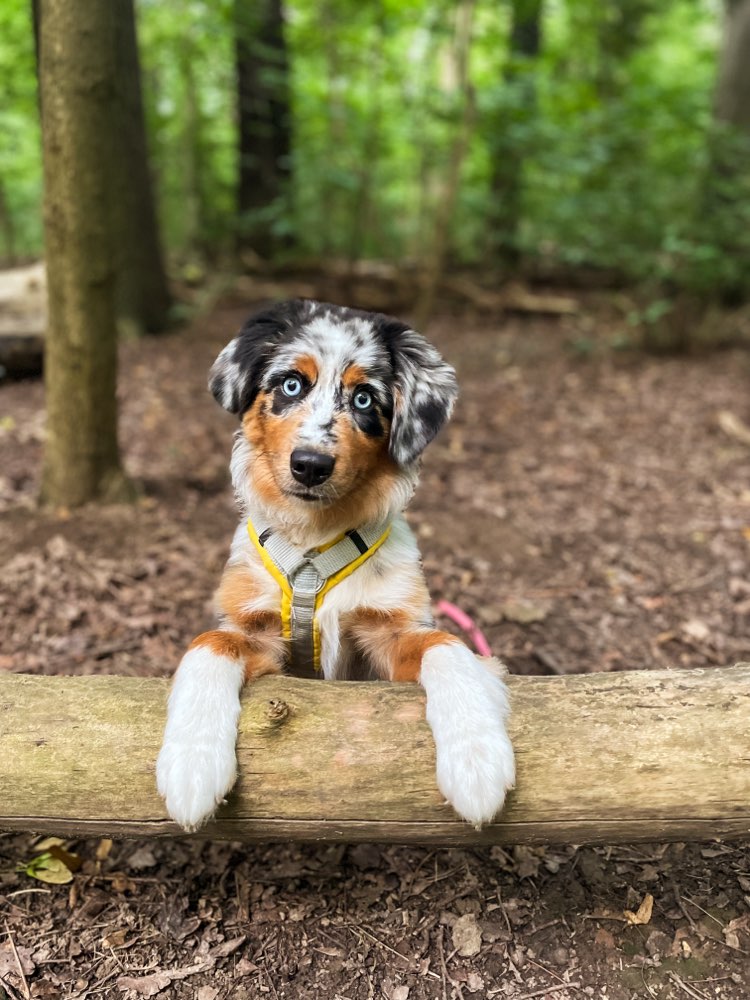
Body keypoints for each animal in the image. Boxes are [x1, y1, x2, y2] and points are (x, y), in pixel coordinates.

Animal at [156, 300, 516, 832]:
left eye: (364, 399)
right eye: (291, 385)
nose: (310, 465)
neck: (314, 539)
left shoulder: (387, 637)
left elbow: (447, 646)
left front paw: (477, 759)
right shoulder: (256, 631)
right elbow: (209, 643)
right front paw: (191, 763)